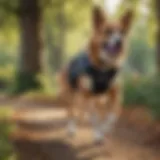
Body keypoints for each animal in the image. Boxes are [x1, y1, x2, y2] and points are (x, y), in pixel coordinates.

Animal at [58, 5, 133, 143]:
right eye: (108, 31)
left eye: (122, 32)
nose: (119, 41)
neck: (103, 67)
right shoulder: (87, 95)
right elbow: (95, 117)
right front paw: (98, 134)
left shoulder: (115, 95)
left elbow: (112, 115)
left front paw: (104, 130)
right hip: (72, 96)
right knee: (72, 112)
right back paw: (71, 129)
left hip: (92, 98)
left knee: (83, 112)